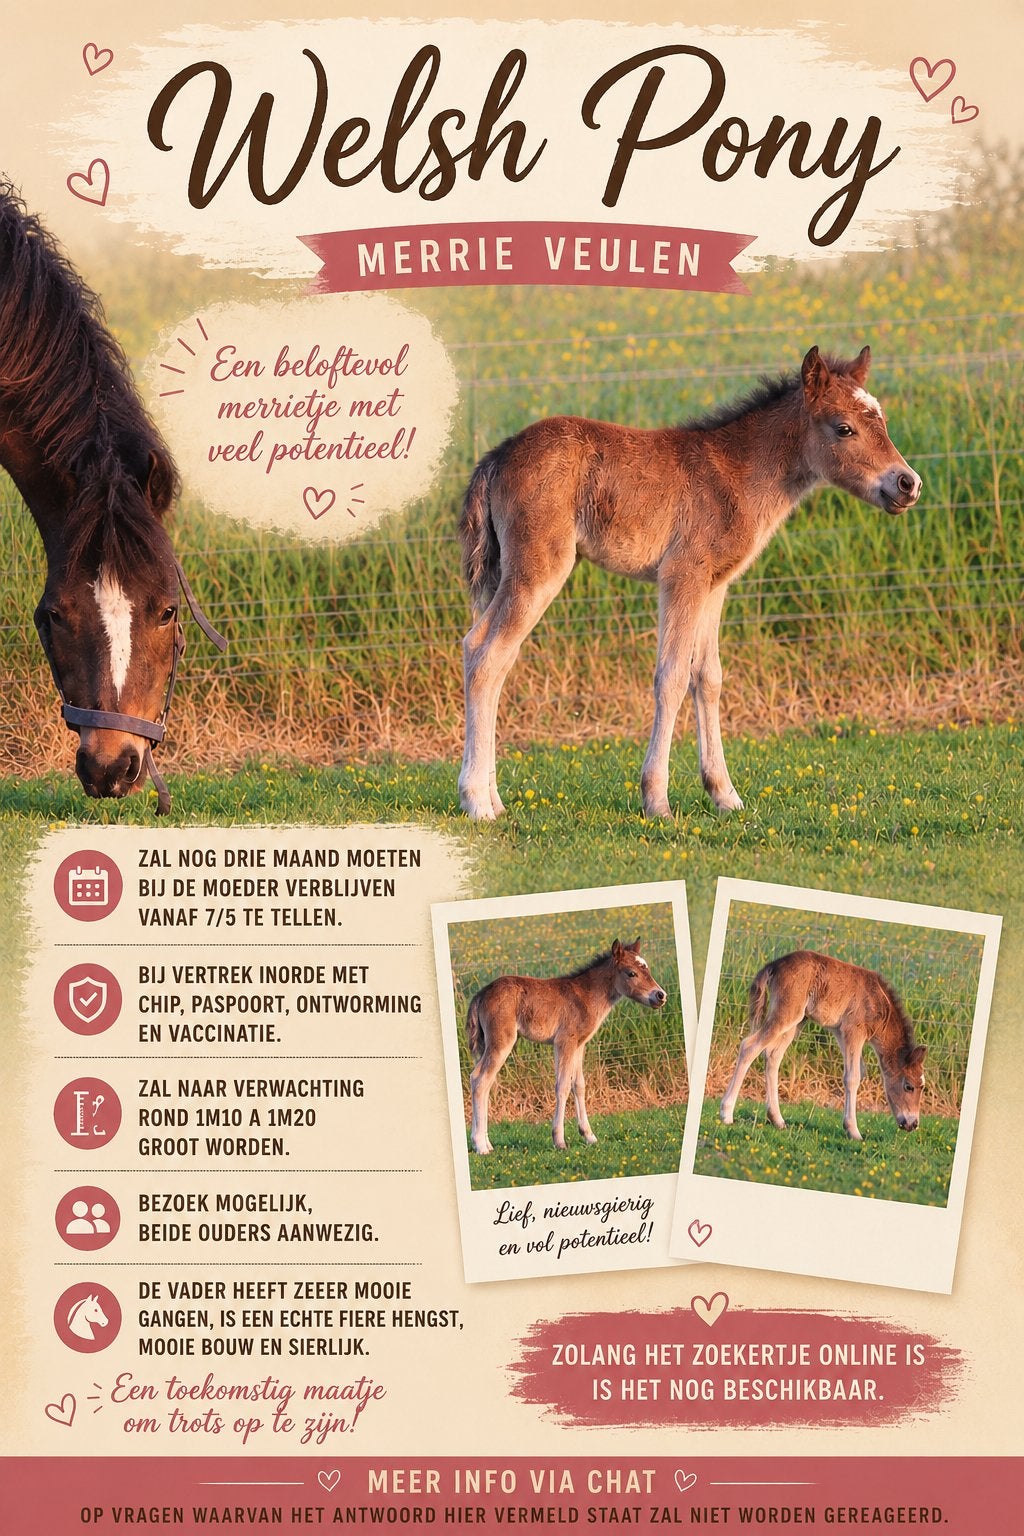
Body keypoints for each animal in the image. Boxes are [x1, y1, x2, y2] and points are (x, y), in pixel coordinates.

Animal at [458, 346, 921, 821]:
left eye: (882, 421)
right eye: (844, 428)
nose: (908, 483)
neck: (738, 473)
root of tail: (497, 455)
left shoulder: (715, 584)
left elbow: (708, 677)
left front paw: (724, 794)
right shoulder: (683, 574)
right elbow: (672, 676)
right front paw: (656, 799)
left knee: (490, 653)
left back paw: (494, 799)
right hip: (539, 566)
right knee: (485, 652)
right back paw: (476, 801)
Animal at [466, 937, 668, 1154]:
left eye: (647, 968)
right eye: (631, 973)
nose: (660, 996)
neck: (586, 995)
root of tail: (481, 994)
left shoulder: (579, 1044)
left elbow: (578, 1085)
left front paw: (589, 1136)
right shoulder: (564, 1041)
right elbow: (562, 1086)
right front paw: (559, 1140)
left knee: (484, 1081)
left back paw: (485, 1143)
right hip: (501, 1041)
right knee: (480, 1079)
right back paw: (480, 1145)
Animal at [718, 949, 927, 1141]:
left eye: (922, 1086)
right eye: (909, 1086)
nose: (913, 1124)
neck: (880, 1003)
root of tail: (775, 964)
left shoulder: (841, 1033)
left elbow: (858, 1072)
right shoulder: (854, 1030)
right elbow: (852, 1077)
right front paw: (853, 1131)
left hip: (798, 1020)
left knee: (772, 1055)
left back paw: (777, 1119)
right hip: (786, 1013)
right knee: (749, 1046)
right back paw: (726, 1114)